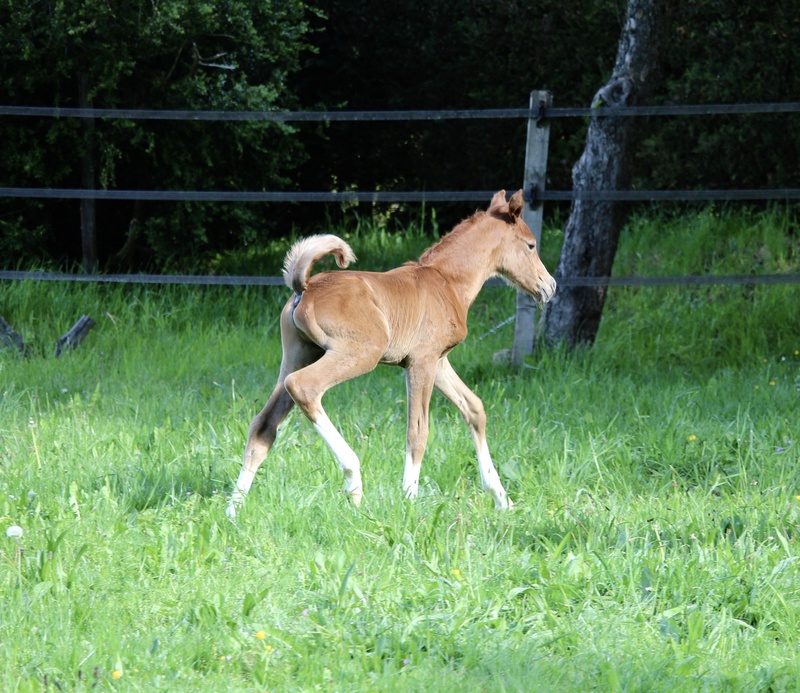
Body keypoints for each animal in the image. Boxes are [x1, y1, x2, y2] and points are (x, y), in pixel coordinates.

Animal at [225, 188, 556, 512]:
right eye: (531, 245)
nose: (549, 286)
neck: (447, 281)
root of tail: (304, 287)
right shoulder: (422, 361)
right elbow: (418, 431)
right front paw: (409, 500)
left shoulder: (439, 361)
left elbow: (474, 408)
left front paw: (502, 500)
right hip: (360, 354)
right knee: (303, 387)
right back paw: (354, 479)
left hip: (298, 354)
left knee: (263, 427)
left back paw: (234, 510)